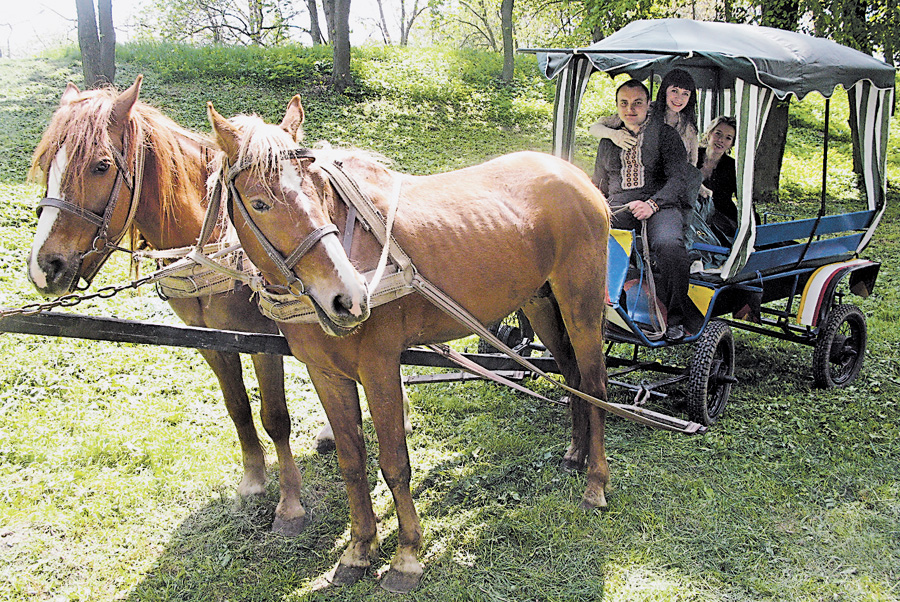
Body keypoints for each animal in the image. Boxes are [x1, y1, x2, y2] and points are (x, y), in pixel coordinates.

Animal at [25, 77, 312, 532]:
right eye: (48, 162)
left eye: (101, 166)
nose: (45, 266)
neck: (215, 246)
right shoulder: (210, 340)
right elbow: (237, 407)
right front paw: (253, 479)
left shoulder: (261, 339)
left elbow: (276, 418)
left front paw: (290, 503)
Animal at [205, 98, 612, 592]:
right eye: (260, 203)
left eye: (318, 189)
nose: (348, 299)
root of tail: (577, 177)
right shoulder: (326, 373)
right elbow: (351, 460)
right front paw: (360, 550)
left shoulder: (379, 367)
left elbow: (395, 463)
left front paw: (406, 556)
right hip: (540, 303)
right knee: (572, 377)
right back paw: (576, 453)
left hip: (580, 301)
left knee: (595, 384)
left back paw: (596, 481)